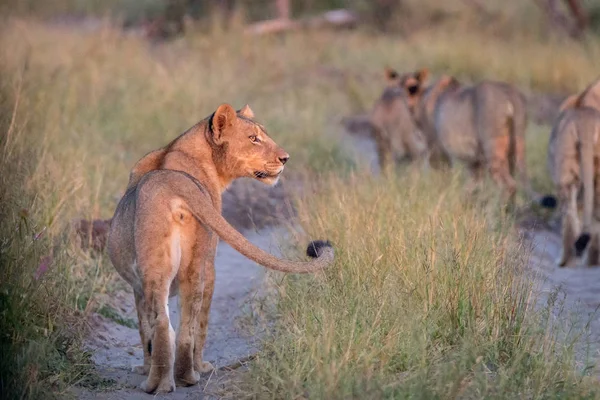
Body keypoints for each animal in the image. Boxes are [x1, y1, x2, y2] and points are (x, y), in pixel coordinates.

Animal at [106, 103, 332, 394]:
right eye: (253, 138)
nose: (285, 158)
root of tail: (169, 182)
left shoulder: (138, 283)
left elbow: (146, 326)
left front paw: (145, 368)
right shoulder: (209, 262)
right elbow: (198, 323)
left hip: (163, 266)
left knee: (165, 323)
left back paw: (163, 383)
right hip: (196, 263)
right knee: (187, 324)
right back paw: (187, 376)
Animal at [404, 69, 548, 206]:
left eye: (411, 88)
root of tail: (511, 95)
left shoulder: (436, 149)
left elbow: (443, 176)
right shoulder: (475, 159)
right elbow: (474, 182)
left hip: (493, 149)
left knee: (509, 185)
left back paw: (495, 210)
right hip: (514, 148)